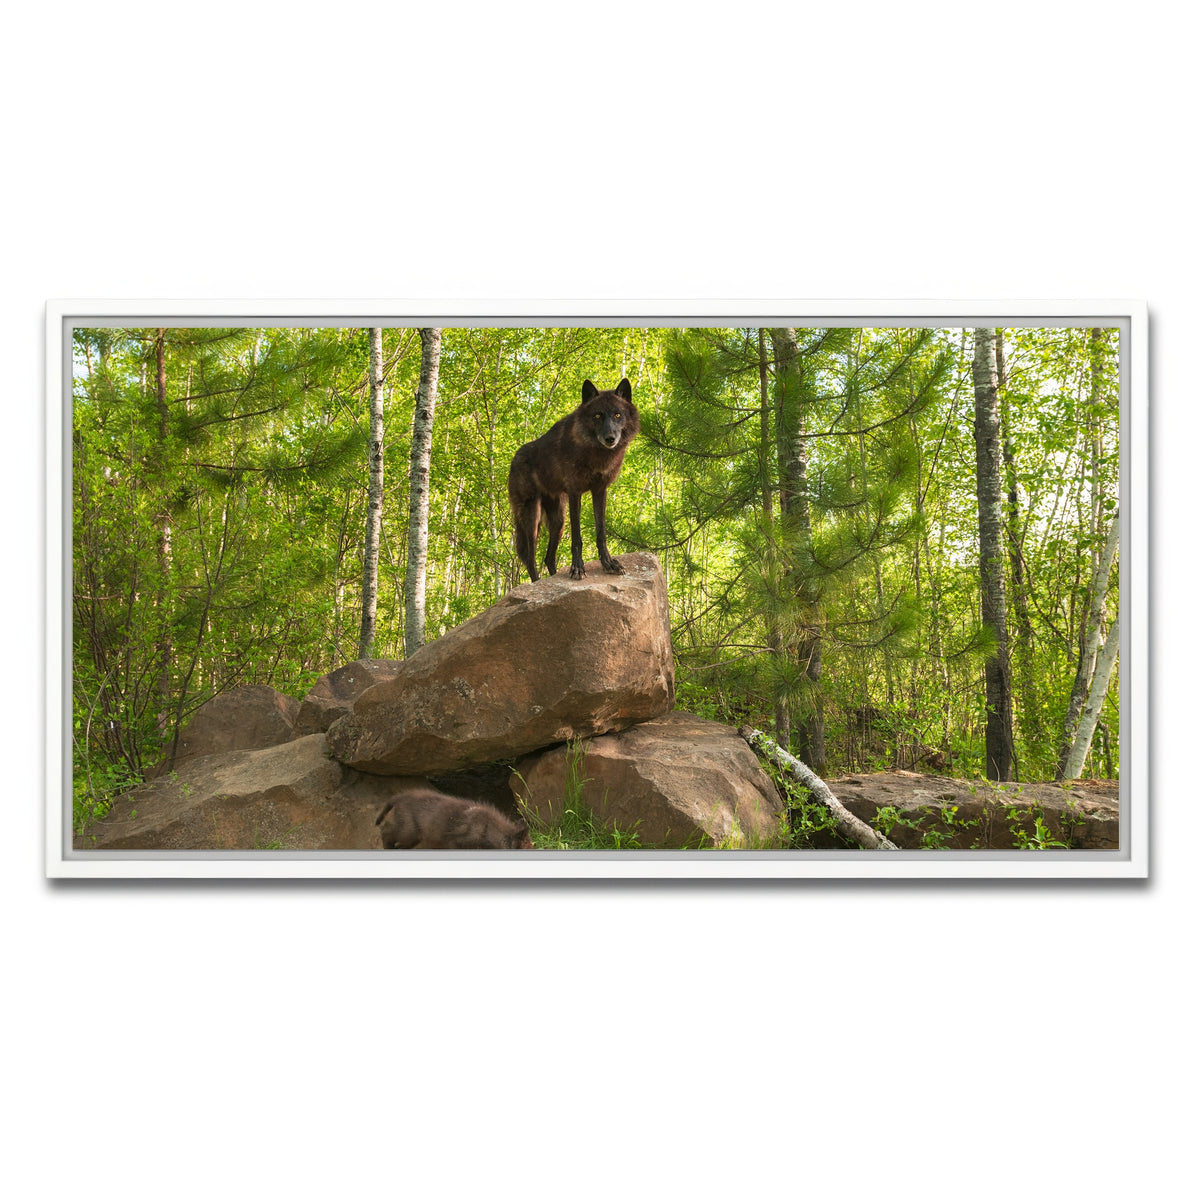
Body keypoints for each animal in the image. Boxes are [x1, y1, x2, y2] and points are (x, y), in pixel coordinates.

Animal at [507, 378, 639, 582]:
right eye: (597, 415)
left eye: (618, 414)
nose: (610, 438)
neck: (596, 454)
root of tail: (514, 459)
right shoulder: (575, 492)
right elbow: (577, 537)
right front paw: (577, 568)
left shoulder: (600, 491)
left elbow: (601, 533)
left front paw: (608, 563)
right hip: (532, 518)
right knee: (529, 557)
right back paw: (536, 583)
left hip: (558, 520)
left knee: (548, 558)